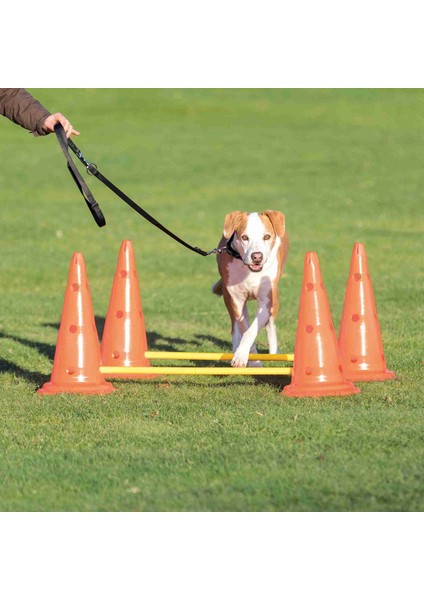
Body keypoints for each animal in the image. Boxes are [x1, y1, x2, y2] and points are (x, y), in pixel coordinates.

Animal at [212, 211, 288, 370]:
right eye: (245, 237)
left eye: (267, 236)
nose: (257, 256)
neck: (249, 271)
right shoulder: (237, 300)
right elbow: (245, 328)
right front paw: (249, 360)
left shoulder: (266, 301)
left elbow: (252, 330)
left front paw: (244, 356)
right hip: (229, 298)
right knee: (235, 324)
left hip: (275, 298)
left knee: (270, 324)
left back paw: (274, 353)